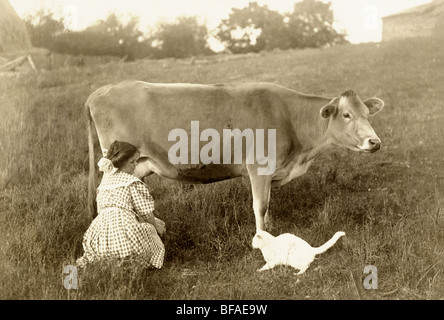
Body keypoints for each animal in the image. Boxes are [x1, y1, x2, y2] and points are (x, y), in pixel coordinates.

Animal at [85, 80, 384, 230]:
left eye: (367, 114)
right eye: (346, 115)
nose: (375, 141)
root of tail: (98, 92)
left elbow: (267, 205)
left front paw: (270, 226)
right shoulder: (259, 167)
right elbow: (260, 205)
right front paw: (263, 238)